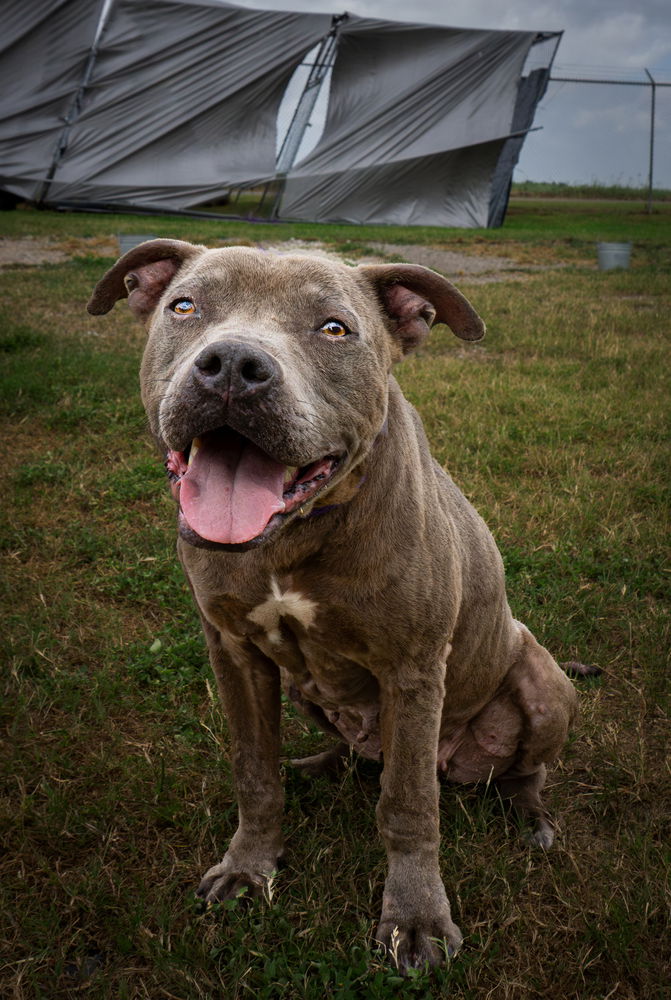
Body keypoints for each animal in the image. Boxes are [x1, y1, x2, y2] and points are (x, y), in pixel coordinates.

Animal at [88, 238, 584, 972]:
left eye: (334, 328)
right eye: (184, 306)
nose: (232, 366)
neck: (292, 535)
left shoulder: (412, 670)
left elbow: (408, 803)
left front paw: (416, 917)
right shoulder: (233, 652)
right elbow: (253, 770)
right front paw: (249, 865)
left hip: (541, 682)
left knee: (520, 771)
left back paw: (532, 819)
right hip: (306, 691)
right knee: (353, 752)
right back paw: (318, 766)